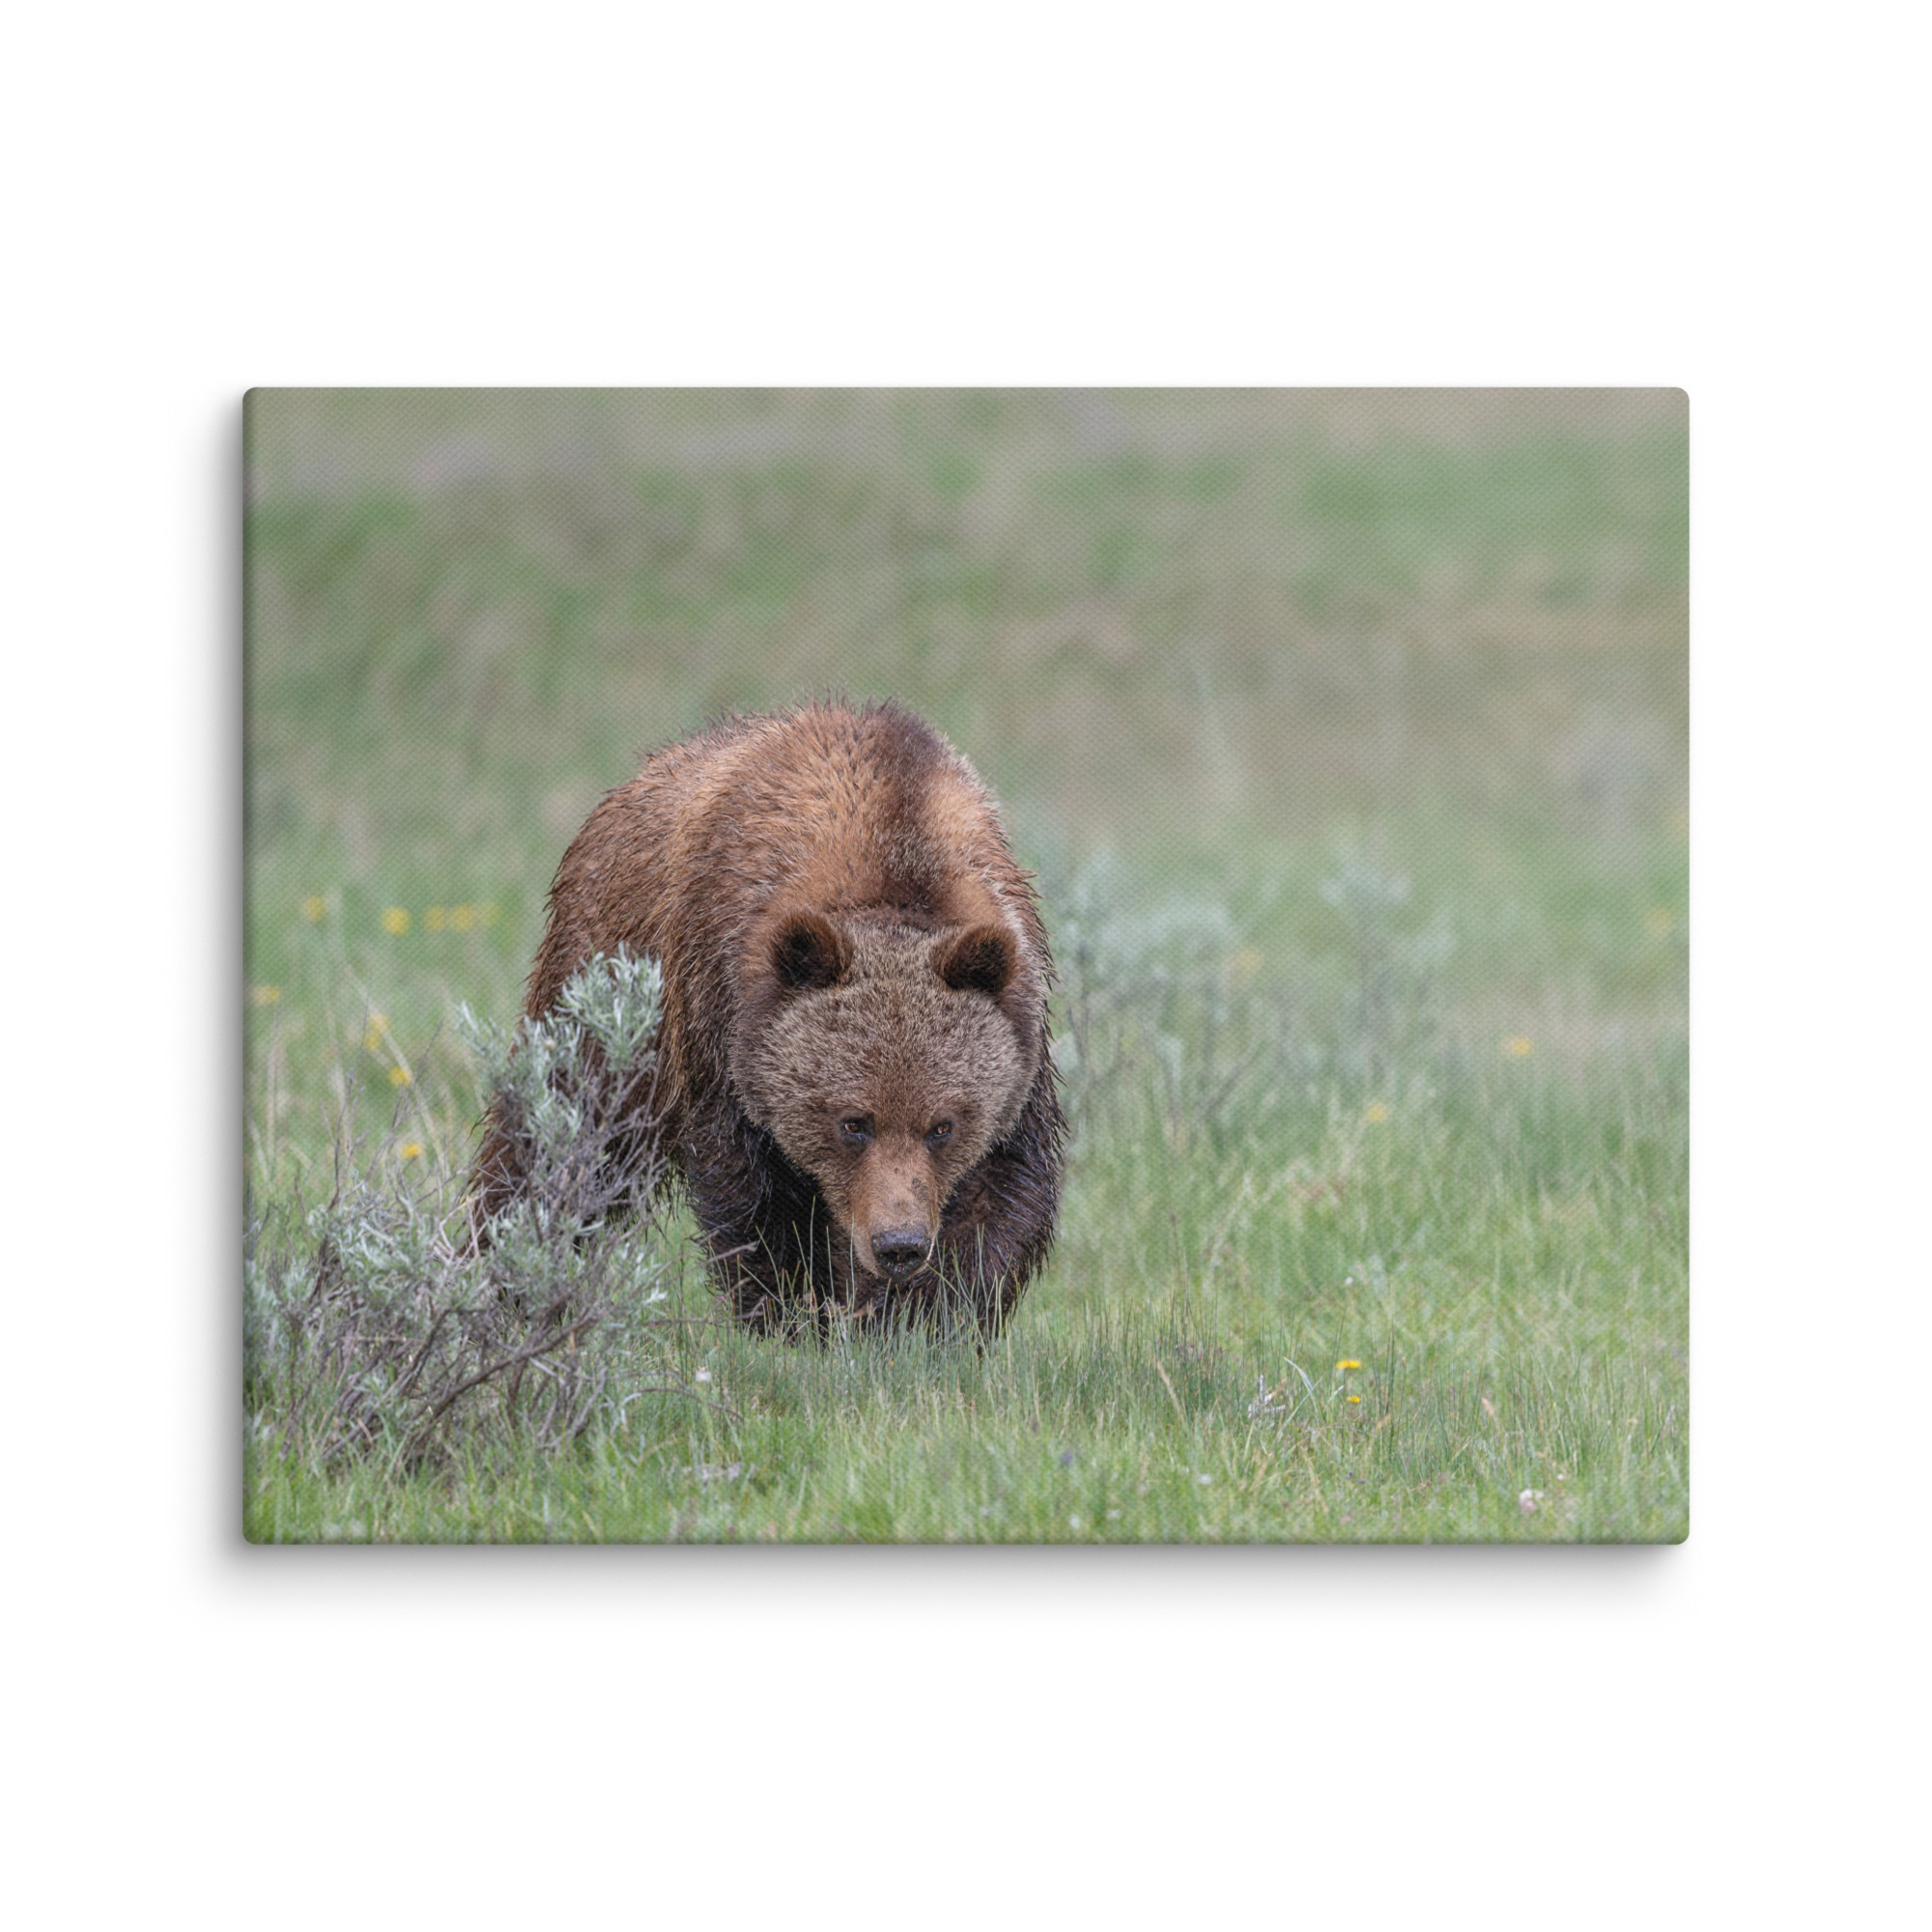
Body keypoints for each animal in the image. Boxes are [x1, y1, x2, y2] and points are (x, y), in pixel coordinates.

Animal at [470, 698, 1066, 1336]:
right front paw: (794, 1315)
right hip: (605, 987)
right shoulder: (721, 1018)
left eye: (943, 1126)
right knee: (559, 1135)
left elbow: (1001, 1194)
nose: (898, 1244)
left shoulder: (1019, 1034)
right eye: (852, 1121)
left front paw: (923, 1319)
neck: (894, 853)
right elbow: (756, 1199)